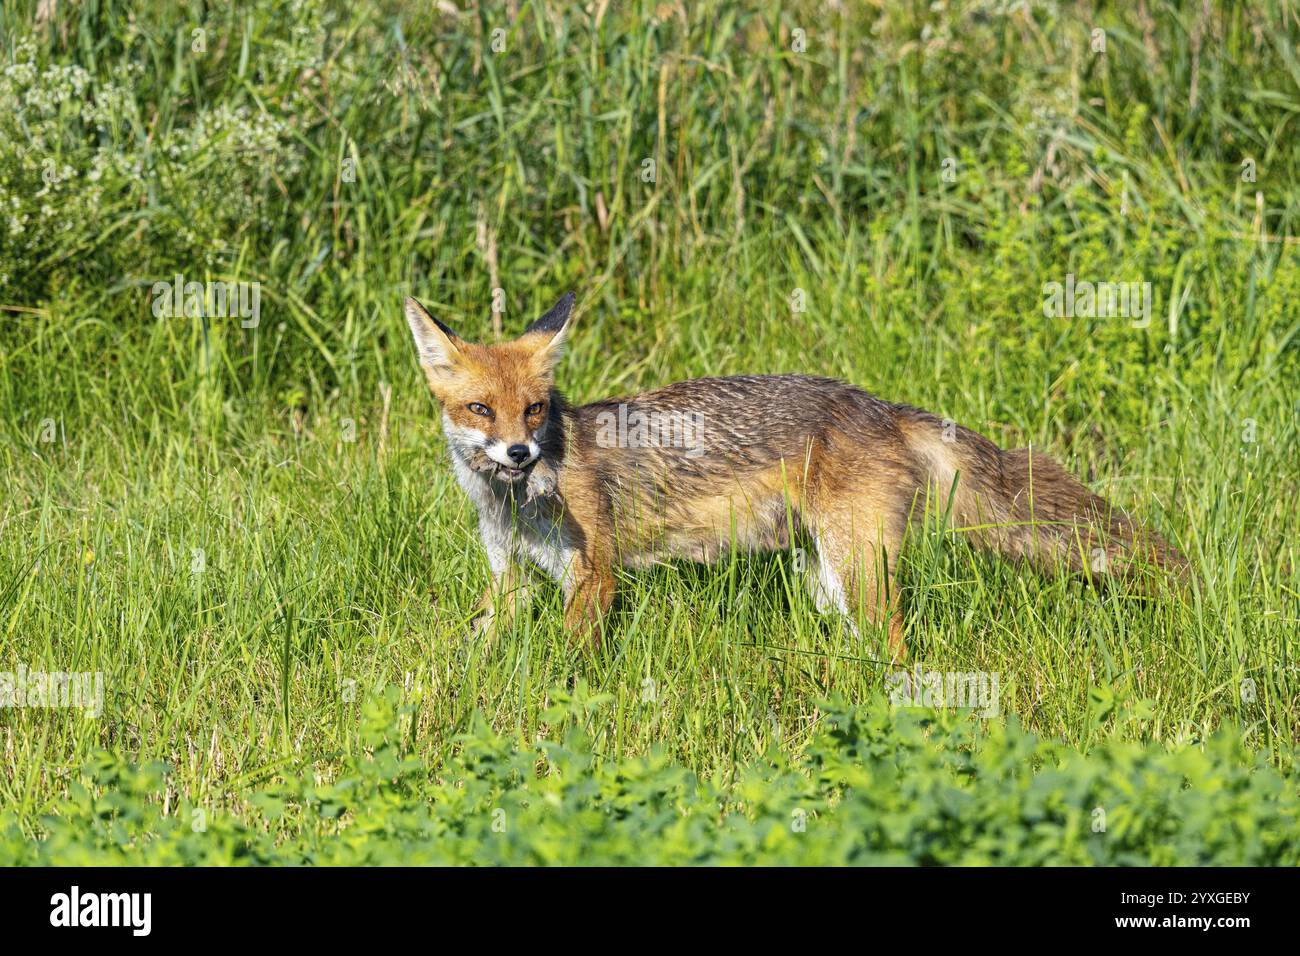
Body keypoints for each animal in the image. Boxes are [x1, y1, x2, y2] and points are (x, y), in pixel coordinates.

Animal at [405, 295, 1190, 660]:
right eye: (480, 408)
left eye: (535, 409)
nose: (520, 455)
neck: (515, 506)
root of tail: (879, 403)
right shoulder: (510, 577)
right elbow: (467, 641)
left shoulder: (592, 575)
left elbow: (567, 661)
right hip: (830, 582)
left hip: (859, 571)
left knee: (897, 643)